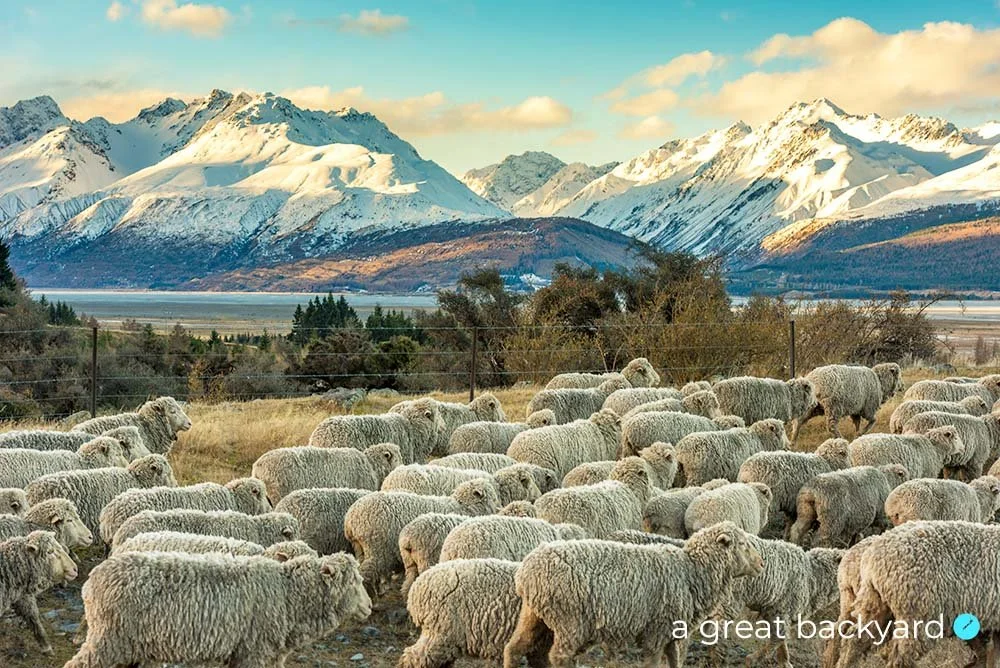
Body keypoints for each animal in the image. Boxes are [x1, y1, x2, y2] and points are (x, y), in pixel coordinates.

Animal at [65, 551, 371, 668]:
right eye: (354, 581)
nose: (368, 606)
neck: (288, 596)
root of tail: (93, 578)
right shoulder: (253, 652)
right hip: (109, 639)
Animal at [343, 478, 500, 594]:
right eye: (493, 497)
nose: (500, 507)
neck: (463, 507)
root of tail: (350, 518)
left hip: (360, 547)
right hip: (377, 547)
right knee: (367, 572)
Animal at [503, 522, 764, 668]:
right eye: (742, 544)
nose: (761, 564)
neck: (691, 571)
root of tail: (526, 572)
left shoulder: (671, 633)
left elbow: (675, 661)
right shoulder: (657, 630)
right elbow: (653, 662)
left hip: (533, 614)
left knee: (513, 648)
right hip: (570, 620)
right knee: (559, 656)